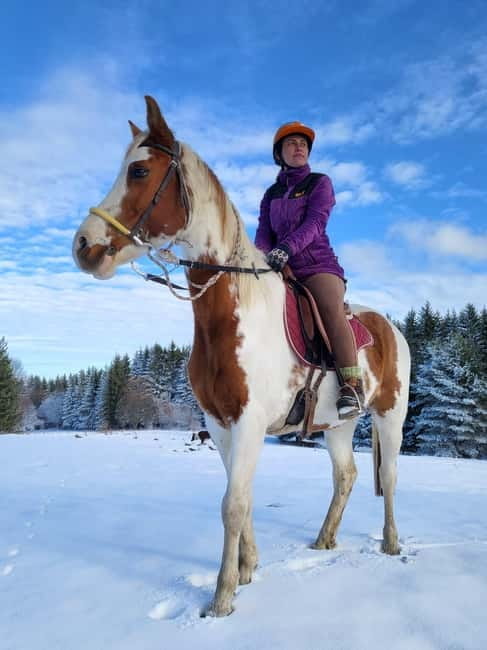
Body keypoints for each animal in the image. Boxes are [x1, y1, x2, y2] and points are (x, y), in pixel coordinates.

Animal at [72, 96, 411, 617]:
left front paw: (222, 597)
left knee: (389, 478)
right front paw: (249, 569)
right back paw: (323, 540)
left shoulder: (250, 423)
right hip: (338, 424)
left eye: (139, 170)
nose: (84, 246)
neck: (233, 315)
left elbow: (232, 505)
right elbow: (243, 498)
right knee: (347, 475)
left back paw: (391, 544)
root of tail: (391, 328)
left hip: (390, 416)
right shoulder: (220, 424)